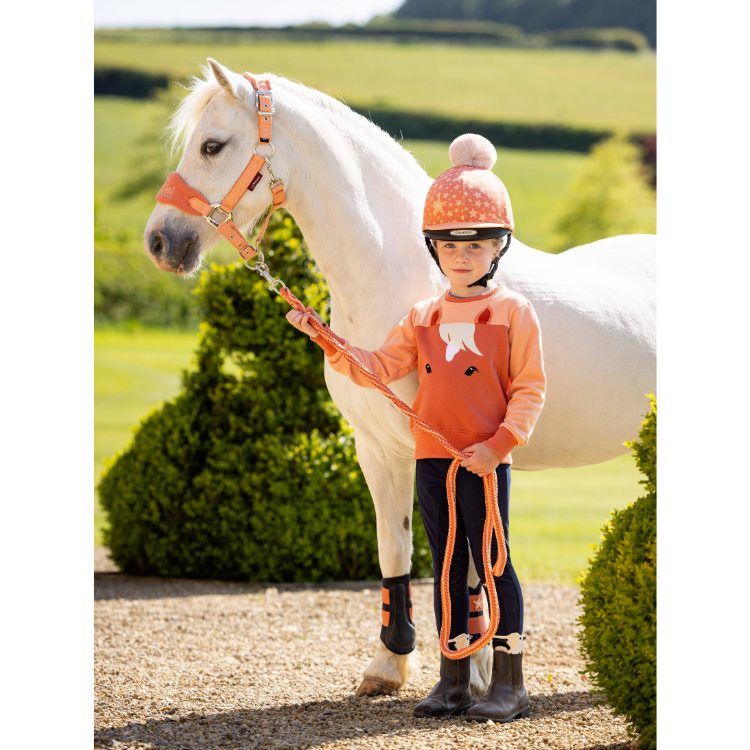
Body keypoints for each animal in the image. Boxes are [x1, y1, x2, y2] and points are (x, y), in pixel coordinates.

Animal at [144, 60, 656, 699]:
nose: (159, 241)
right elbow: (396, 549)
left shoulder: (455, 454)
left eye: (213, 145)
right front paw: (389, 664)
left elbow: (463, 561)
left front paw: (474, 672)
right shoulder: (377, 448)